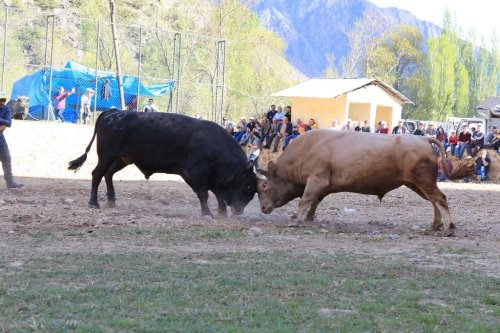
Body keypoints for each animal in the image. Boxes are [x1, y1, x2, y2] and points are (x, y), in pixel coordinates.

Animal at [68, 109, 256, 215]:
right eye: (248, 186)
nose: (239, 211)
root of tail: (112, 112)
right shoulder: (197, 174)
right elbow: (204, 194)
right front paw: (207, 213)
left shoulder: (213, 179)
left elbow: (218, 195)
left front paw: (221, 212)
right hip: (107, 156)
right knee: (97, 174)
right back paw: (94, 203)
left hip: (121, 159)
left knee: (108, 175)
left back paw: (112, 201)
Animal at [256, 130, 474, 236]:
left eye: (264, 186)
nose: (264, 208)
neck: (307, 149)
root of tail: (423, 138)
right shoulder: (322, 185)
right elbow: (315, 200)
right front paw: (309, 217)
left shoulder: (316, 179)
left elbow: (305, 199)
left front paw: (295, 219)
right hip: (417, 184)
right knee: (434, 200)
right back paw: (436, 225)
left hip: (423, 181)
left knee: (440, 198)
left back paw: (448, 227)